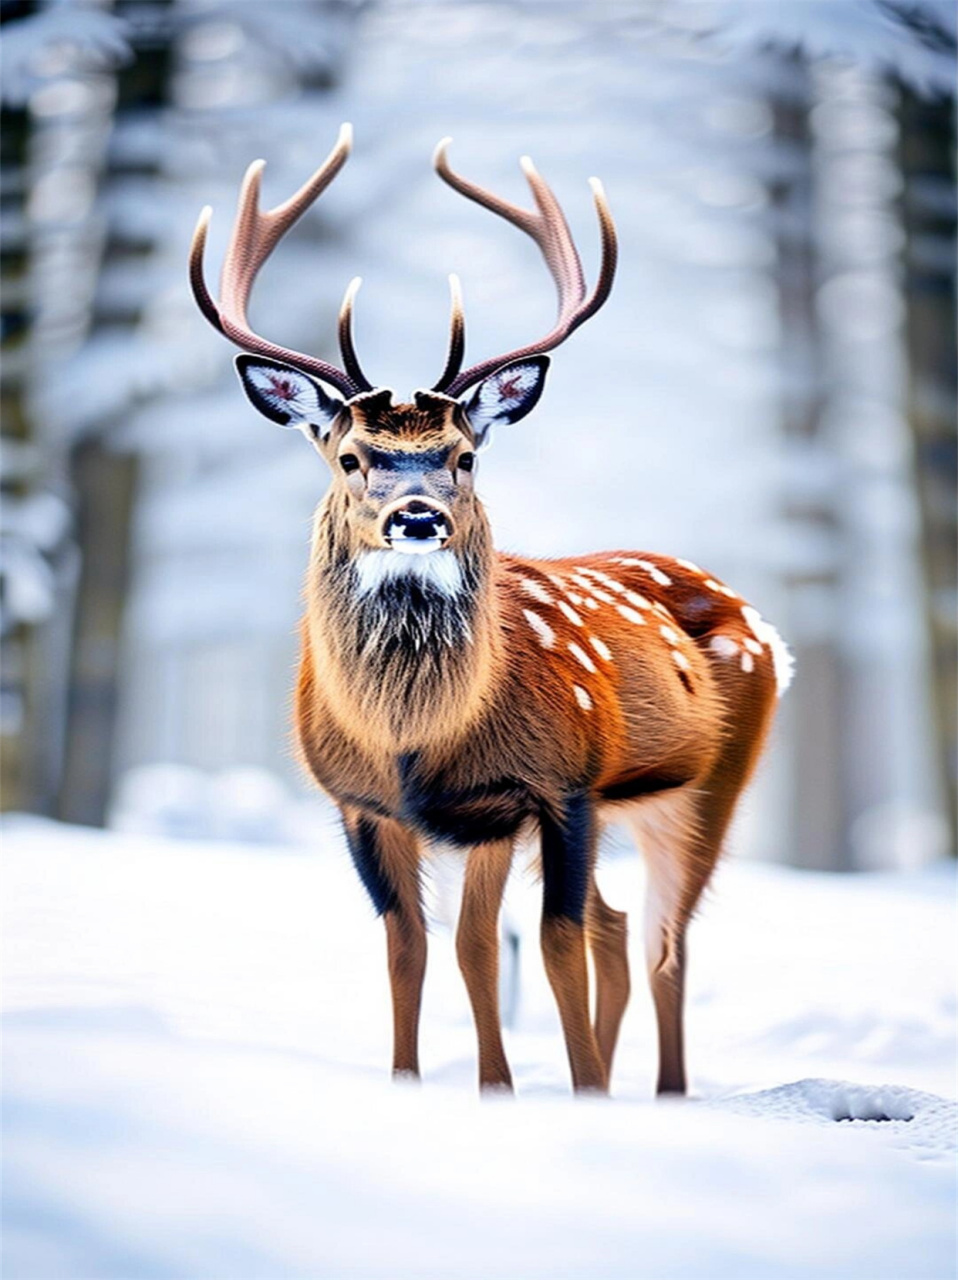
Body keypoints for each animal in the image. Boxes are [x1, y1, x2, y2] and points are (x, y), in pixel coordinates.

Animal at [189, 124, 794, 1095]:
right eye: (351, 456)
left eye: (464, 455)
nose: (418, 515)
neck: (413, 743)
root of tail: (754, 616)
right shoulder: (372, 807)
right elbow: (419, 949)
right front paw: (432, 1085)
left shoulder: (553, 786)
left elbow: (542, 949)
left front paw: (559, 1091)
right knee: (619, 927)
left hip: (704, 780)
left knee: (662, 941)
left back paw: (660, 1095)